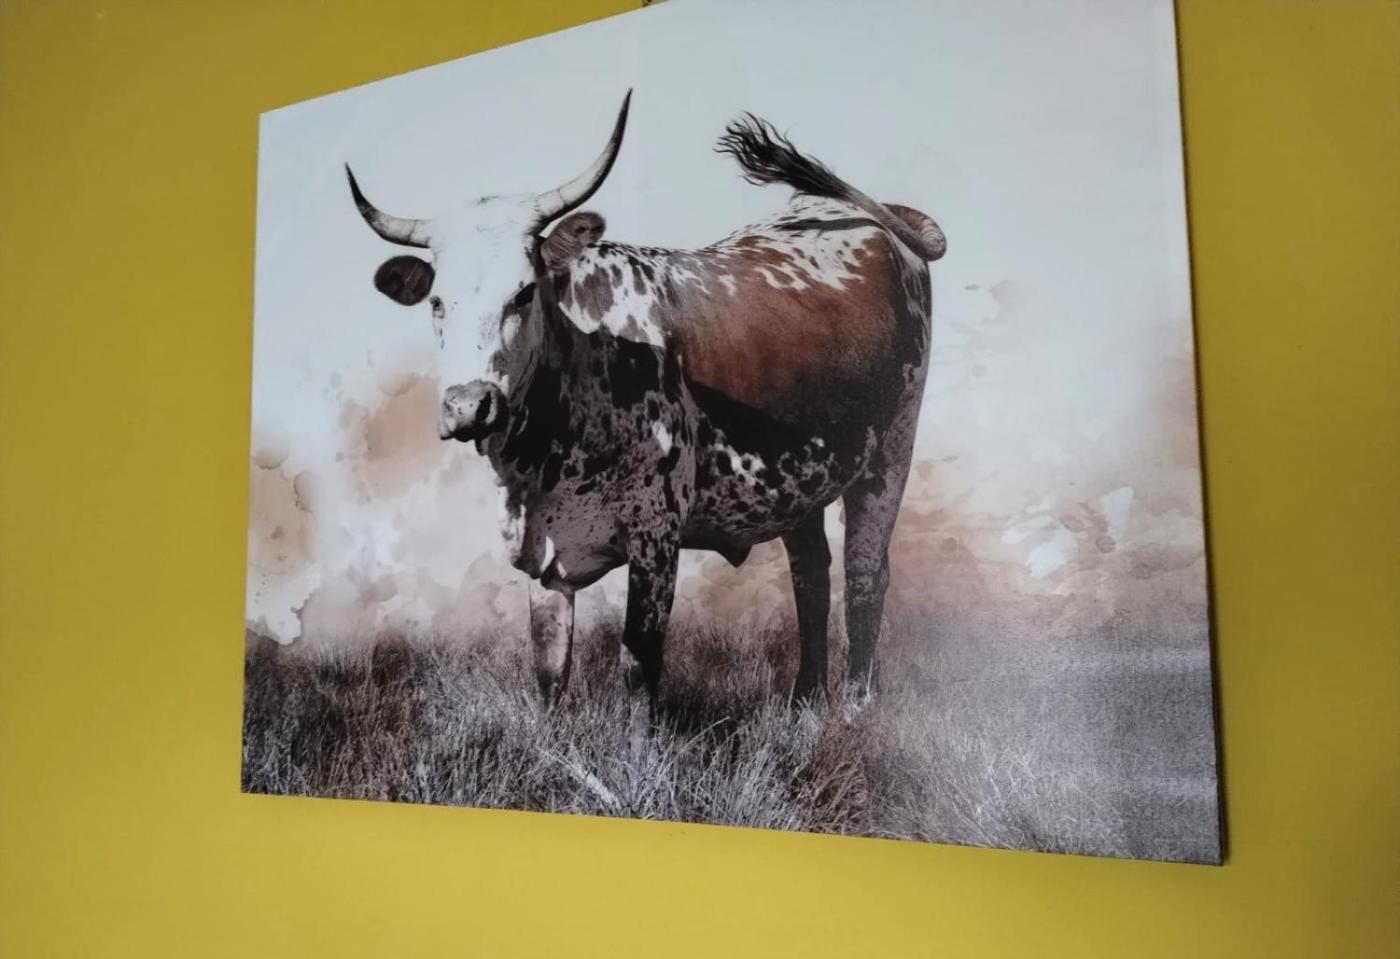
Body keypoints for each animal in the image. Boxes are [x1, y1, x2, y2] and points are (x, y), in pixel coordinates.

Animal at [346, 92, 945, 708]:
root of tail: (876, 216)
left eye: (523, 292)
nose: (469, 406)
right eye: (437, 303)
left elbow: (638, 672)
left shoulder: (656, 539)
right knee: (812, 571)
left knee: (865, 572)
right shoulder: (544, 560)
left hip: (890, 453)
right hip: (799, 477)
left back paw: (855, 705)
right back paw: (804, 700)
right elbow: (550, 676)